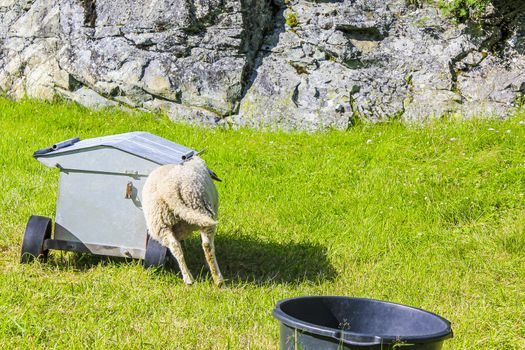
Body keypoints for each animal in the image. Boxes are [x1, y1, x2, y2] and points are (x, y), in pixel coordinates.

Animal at [142, 156, 224, 288]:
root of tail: (170, 191)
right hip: (201, 210)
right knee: (207, 245)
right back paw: (218, 280)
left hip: (161, 223)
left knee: (175, 246)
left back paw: (188, 278)